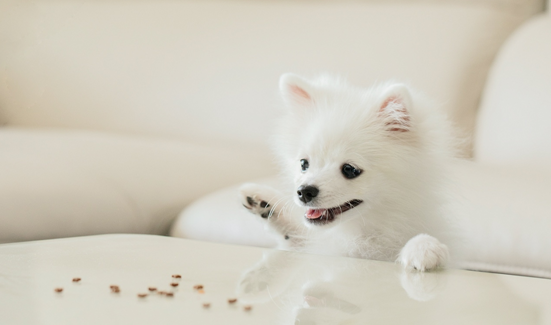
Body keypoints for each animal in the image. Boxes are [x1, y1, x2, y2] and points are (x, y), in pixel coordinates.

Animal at [242, 73, 458, 270]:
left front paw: (424, 247)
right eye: (304, 164)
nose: (304, 191)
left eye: (350, 170)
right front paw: (268, 204)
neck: (360, 232)